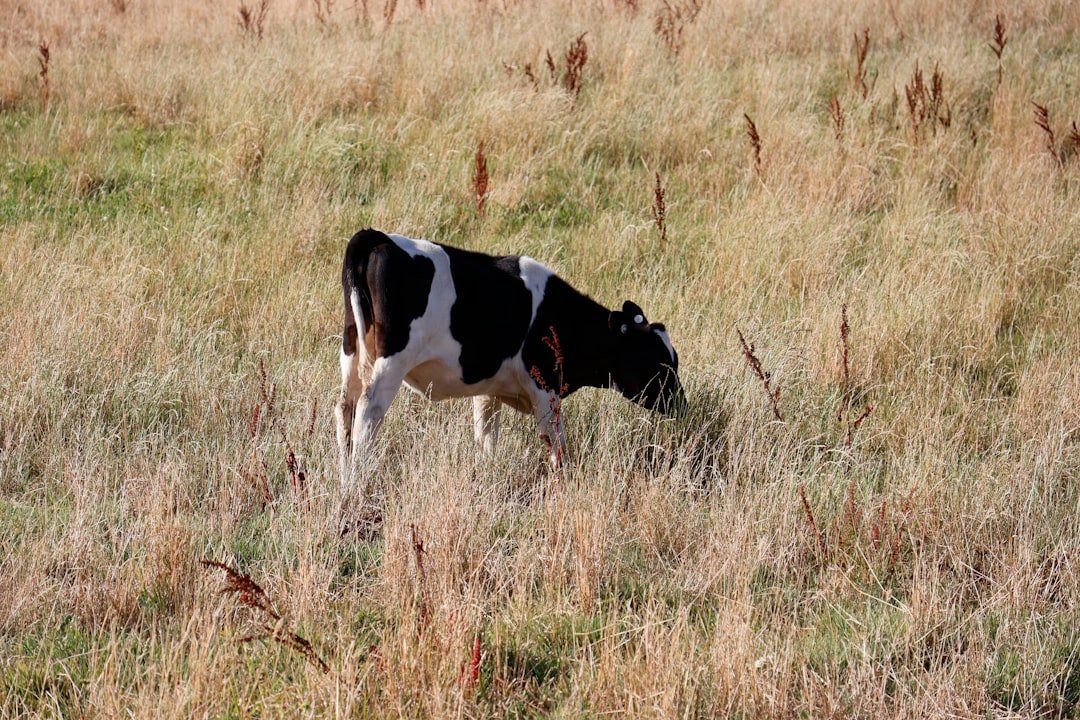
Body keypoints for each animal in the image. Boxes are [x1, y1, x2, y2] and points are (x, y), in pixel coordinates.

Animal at [334, 228, 684, 482]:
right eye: (657, 361)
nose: (681, 403)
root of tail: (378, 236)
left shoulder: (488, 389)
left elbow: (486, 437)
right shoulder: (545, 389)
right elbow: (556, 444)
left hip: (351, 352)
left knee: (344, 410)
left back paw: (345, 472)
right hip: (390, 363)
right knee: (368, 412)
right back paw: (358, 476)